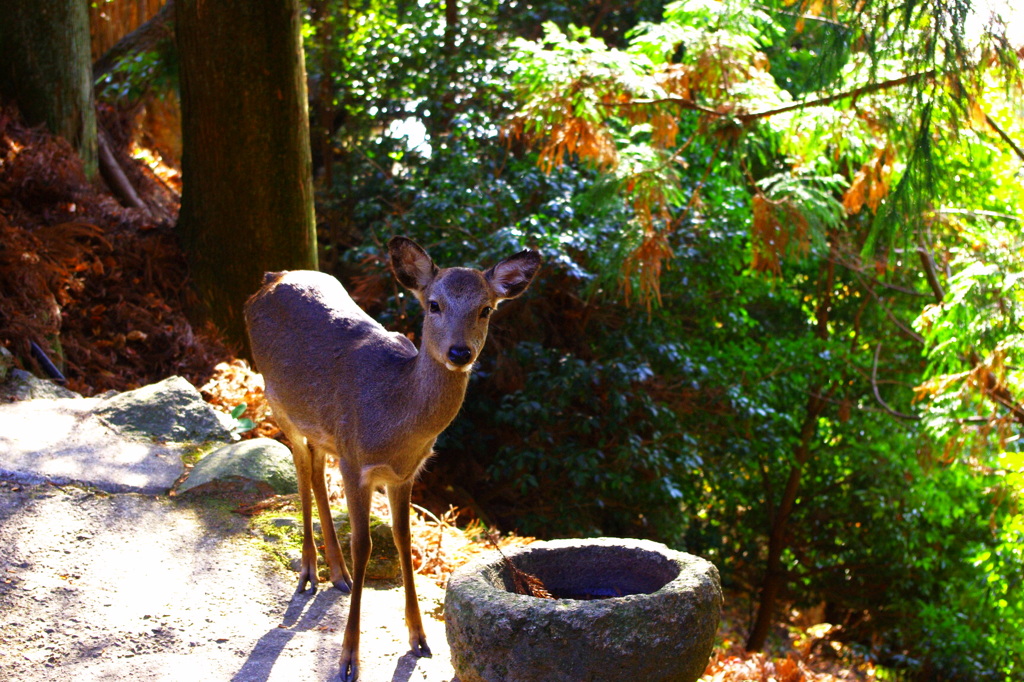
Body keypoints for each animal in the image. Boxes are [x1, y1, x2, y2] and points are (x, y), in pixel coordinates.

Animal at [243, 236, 540, 675]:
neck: (394, 423)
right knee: (300, 469)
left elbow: (404, 539)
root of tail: (268, 277)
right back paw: (310, 571)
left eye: (486, 308)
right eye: (433, 304)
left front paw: (420, 639)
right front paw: (349, 660)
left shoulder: (404, 474)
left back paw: (338, 574)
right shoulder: (356, 462)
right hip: (277, 400)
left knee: (315, 468)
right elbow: (364, 545)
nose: (460, 352)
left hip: (322, 430)